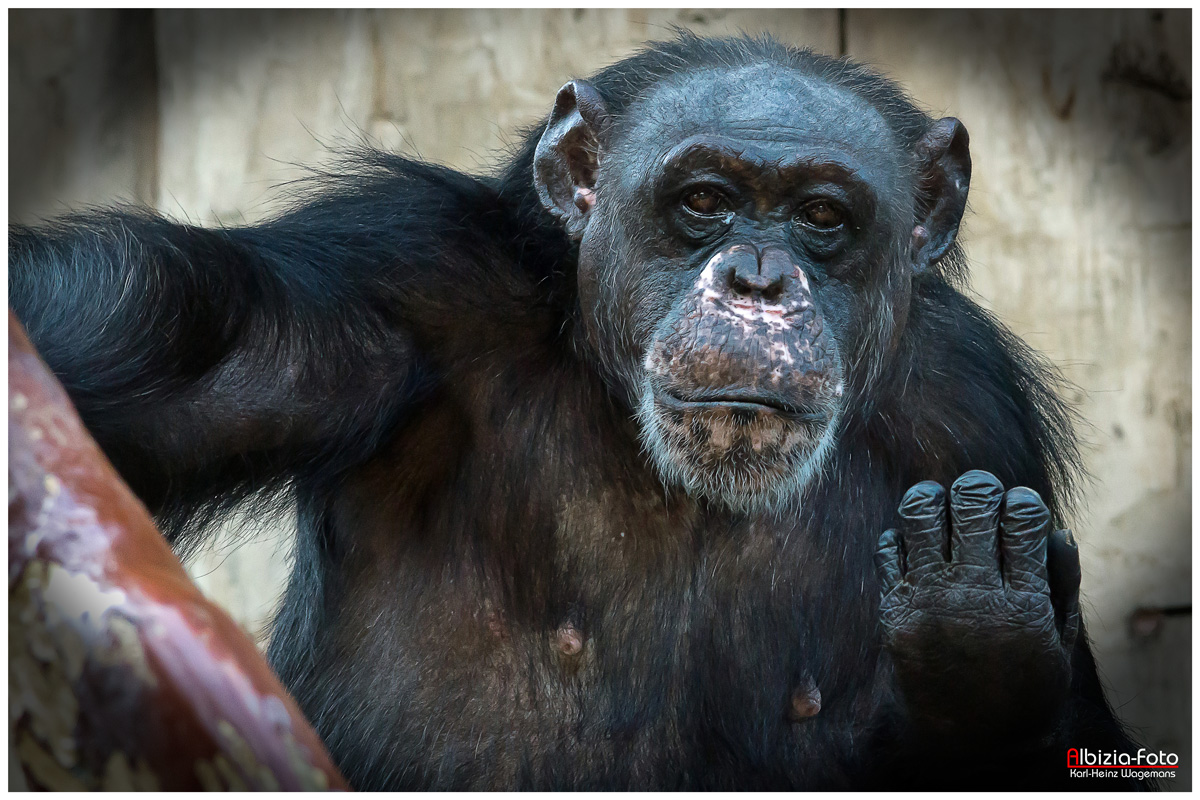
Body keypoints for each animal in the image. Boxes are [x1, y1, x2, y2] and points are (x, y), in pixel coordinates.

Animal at [11, 34, 1152, 791]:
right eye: (704, 199)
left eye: (823, 215)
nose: (758, 277)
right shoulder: (386, 286)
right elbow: (167, 356)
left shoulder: (974, 421)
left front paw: (980, 653)